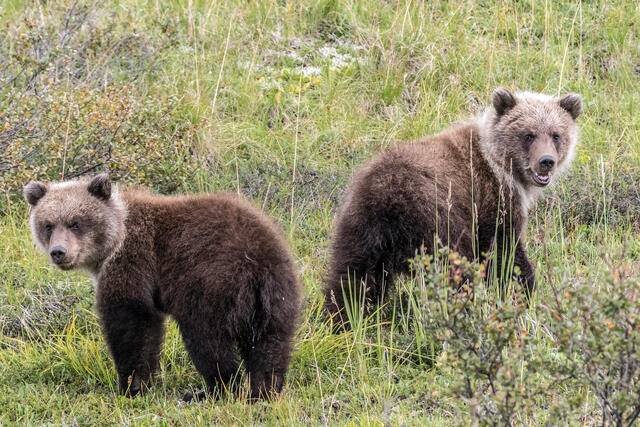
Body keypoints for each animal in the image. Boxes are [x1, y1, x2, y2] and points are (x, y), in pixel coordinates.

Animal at [24, 173, 301, 401]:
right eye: (48, 224)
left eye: (76, 222)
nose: (59, 252)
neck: (114, 241)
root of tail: (256, 262)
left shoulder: (133, 263)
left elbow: (133, 325)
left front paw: (131, 386)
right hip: (278, 295)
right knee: (270, 345)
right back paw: (264, 390)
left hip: (211, 285)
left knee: (208, 341)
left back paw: (212, 390)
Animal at [324, 88, 582, 326]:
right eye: (528, 135)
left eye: (556, 135)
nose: (546, 161)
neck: (502, 168)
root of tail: (386, 199)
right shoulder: (491, 202)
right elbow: (505, 254)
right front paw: (527, 292)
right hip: (435, 220)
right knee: (454, 272)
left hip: (359, 228)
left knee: (351, 280)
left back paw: (343, 320)